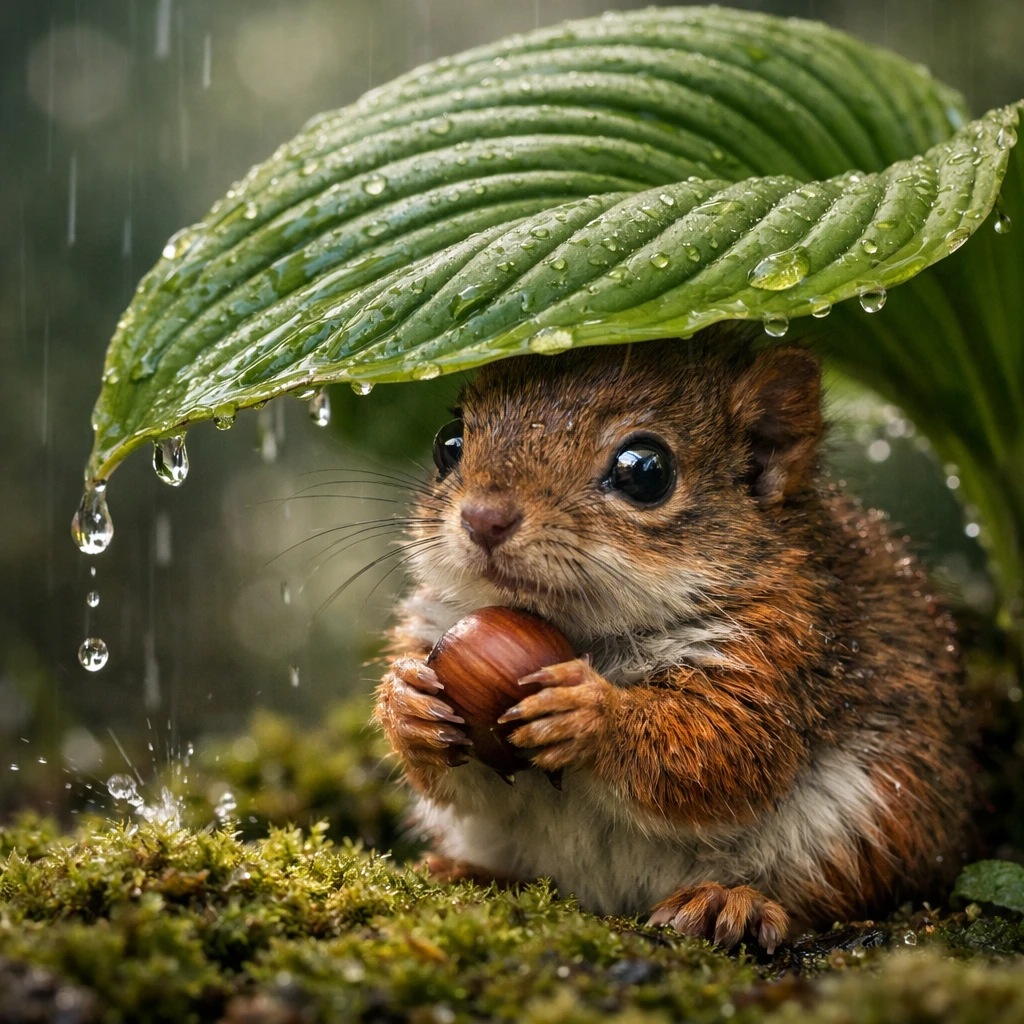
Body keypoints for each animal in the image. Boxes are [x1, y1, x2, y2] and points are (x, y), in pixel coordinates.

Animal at [373, 328, 971, 952]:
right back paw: (468, 871)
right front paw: (405, 705)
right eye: (448, 443)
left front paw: (592, 713)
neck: (579, 634)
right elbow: (447, 779)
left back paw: (730, 901)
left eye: (645, 471)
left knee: (828, 893)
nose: (484, 518)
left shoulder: (786, 648)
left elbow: (722, 747)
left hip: (871, 819)